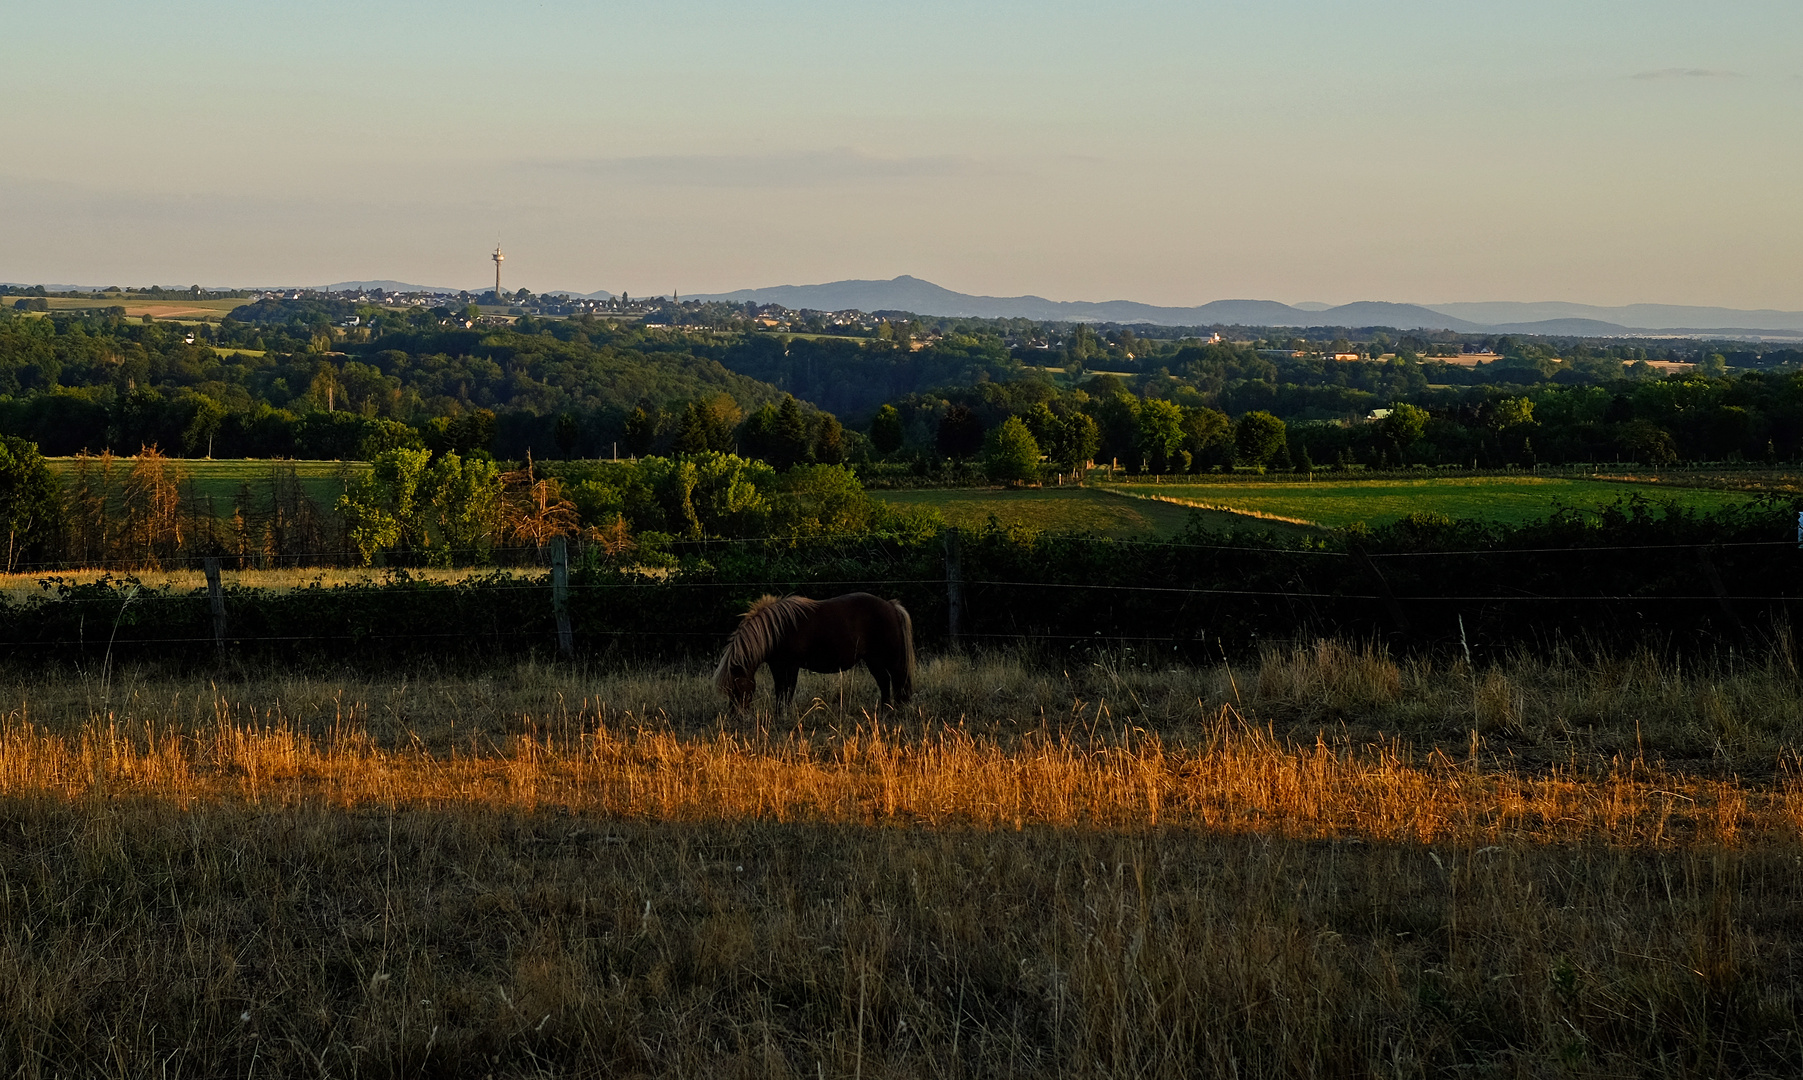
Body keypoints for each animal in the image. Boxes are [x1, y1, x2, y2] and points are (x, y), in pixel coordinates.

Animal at [710, 591, 915, 710]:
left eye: (735, 687)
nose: (735, 715)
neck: (777, 630)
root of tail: (891, 605)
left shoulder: (791, 666)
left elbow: (787, 691)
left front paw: (784, 715)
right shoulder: (778, 666)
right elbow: (780, 691)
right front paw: (778, 714)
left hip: (889, 658)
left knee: (898, 679)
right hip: (873, 659)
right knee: (884, 681)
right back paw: (885, 710)